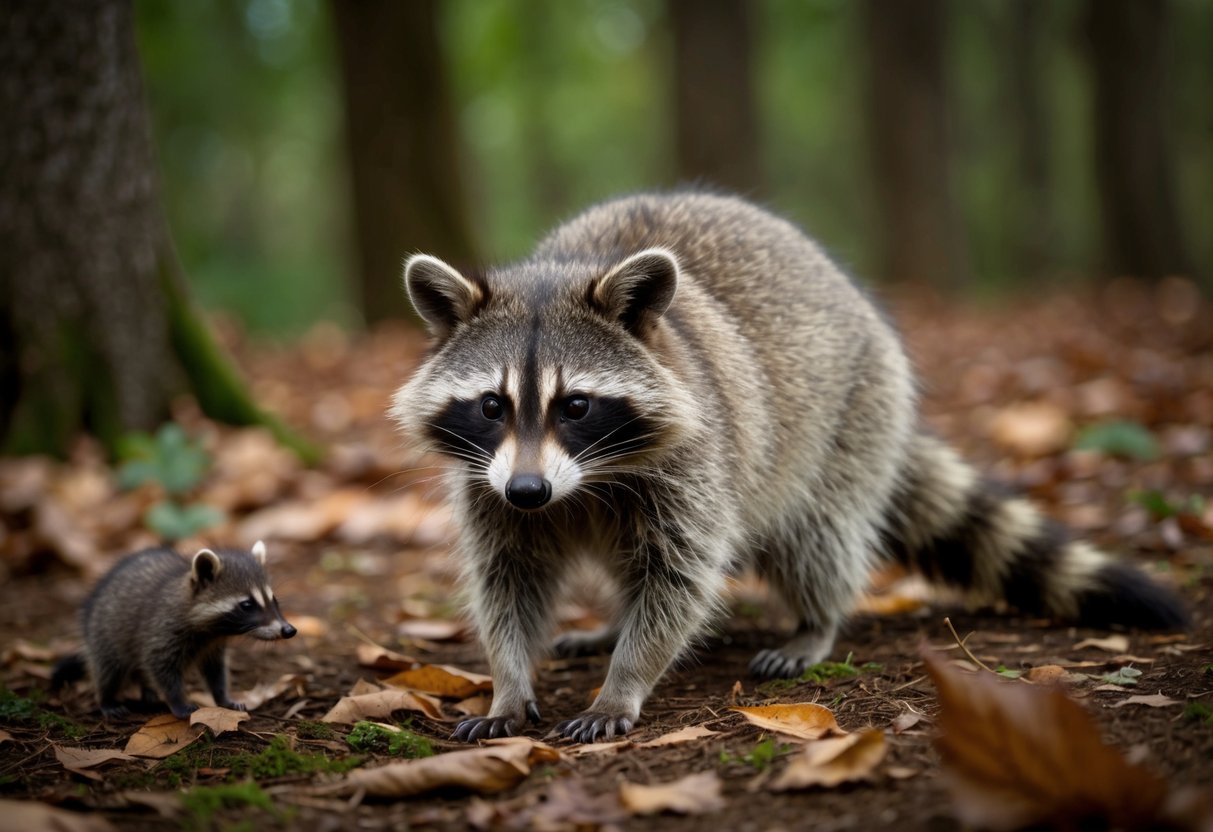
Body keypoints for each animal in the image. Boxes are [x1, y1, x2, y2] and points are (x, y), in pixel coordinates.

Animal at [51, 541, 296, 719]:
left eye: (274, 599)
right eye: (247, 605)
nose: (289, 630)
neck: (212, 630)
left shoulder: (213, 644)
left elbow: (216, 671)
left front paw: (222, 697)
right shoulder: (162, 629)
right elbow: (160, 666)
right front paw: (178, 701)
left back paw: (147, 692)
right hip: (102, 633)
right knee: (107, 668)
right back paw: (107, 698)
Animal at [391, 191, 1186, 743]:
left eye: (576, 405)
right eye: (492, 405)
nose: (528, 491)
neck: (578, 487)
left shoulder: (694, 462)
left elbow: (680, 578)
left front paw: (625, 680)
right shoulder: (487, 482)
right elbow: (507, 581)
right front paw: (508, 679)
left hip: (853, 413)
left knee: (817, 536)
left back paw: (815, 621)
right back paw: (614, 623)